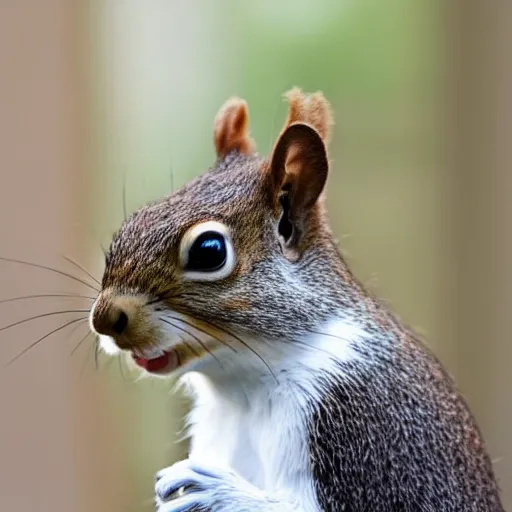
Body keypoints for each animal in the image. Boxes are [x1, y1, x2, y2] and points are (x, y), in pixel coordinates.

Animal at [89, 89, 504, 512]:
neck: (246, 384)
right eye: (132, 222)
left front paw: (219, 489)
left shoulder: (362, 424)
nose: (105, 318)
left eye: (209, 251)